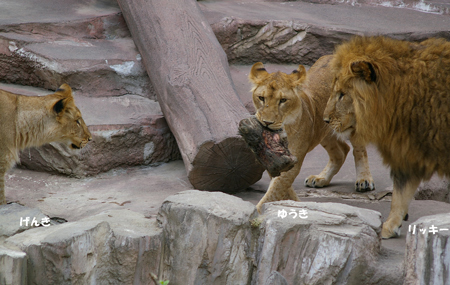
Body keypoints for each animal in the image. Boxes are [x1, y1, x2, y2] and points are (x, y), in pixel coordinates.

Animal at [250, 56, 376, 211]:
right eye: (261, 98)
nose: (267, 122)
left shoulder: (292, 160)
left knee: (359, 150)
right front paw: (296, 203)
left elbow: (275, 191)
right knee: (341, 151)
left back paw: (364, 180)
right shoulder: (274, 160)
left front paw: (256, 213)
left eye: (283, 100)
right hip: (324, 128)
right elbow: (282, 188)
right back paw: (321, 178)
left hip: (350, 119)